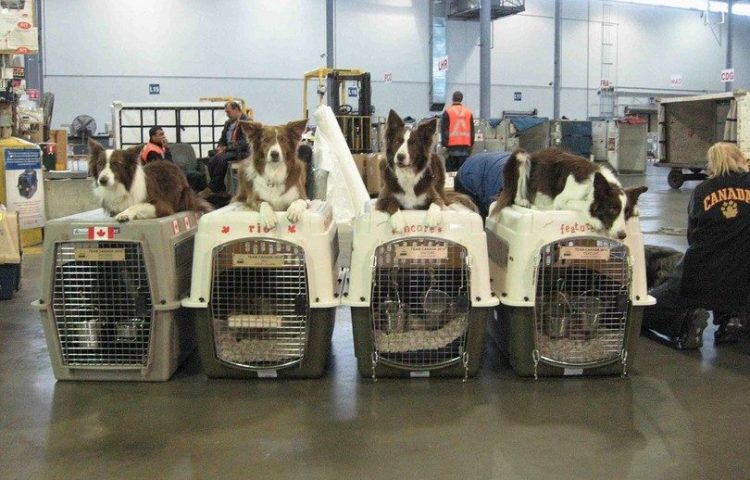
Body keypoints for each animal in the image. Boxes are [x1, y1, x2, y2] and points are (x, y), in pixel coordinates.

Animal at [492, 148, 647, 239]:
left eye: (626, 213)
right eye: (612, 210)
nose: (622, 235)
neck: (591, 186)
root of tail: (535, 152)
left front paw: (636, 209)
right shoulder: (561, 200)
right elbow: (582, 204)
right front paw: (595, 220)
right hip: (521, 155)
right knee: (515, 195)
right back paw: (524, 201)